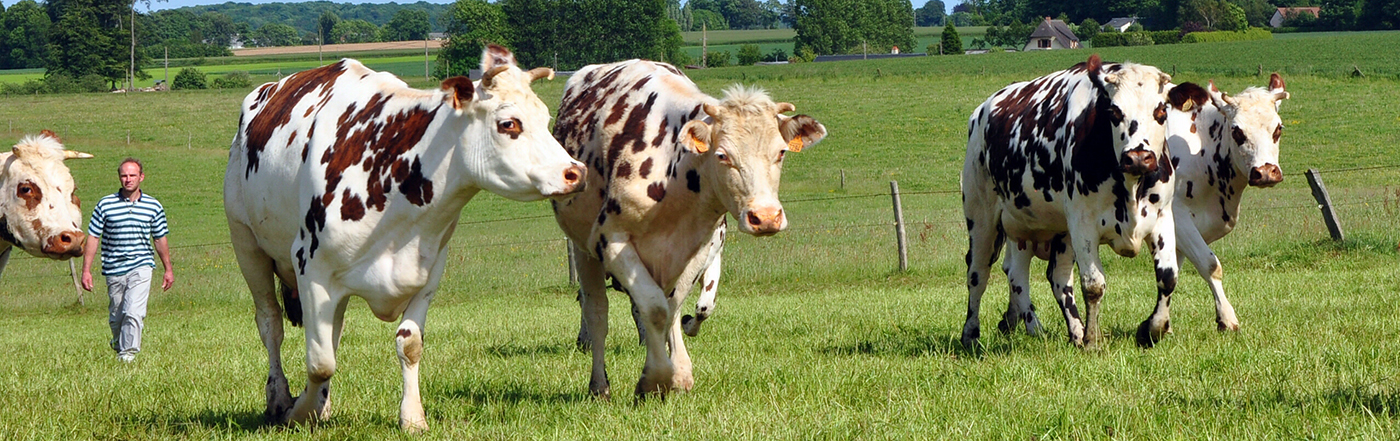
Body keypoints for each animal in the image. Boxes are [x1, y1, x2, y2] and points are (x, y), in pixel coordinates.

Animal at [223, 45, 584, 432]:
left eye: (546, 118)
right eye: (509, 124)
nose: (576, 172)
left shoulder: (428, 273)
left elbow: (407, 345)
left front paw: (412, 417)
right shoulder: (310, 267)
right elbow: (320, 362)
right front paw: (298, 412)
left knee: (330, 332)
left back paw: (323, 403)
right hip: (247, 245)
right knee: (270, 324)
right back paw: (278, 398)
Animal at [552, 59, 826, 399]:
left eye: (781, 152)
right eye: (722, 155)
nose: (765, 217)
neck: (674, 171)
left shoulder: (701, 246)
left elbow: (672, 308)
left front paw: (679, 374)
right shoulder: (611, 240)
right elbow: (654, 308)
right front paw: (654, 380)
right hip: (583, 249)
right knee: (597, 312)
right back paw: (599, 385)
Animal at [961, 54, 1177, 349]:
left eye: (1161, 111)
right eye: (1114, 112)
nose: (1138, 157)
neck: (1131, 186)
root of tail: (982, 110)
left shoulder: (1162, 216)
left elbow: (1168, 277)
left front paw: (1153, 329)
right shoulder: (1083, 225)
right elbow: (1094, 285)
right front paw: (1093, 340)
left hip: (1042, 231)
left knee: (1048, 277)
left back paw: (1072, 331)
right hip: (981, 218)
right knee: (978, 274)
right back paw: (970, 335)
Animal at [997, 74, 1290, 336]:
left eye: (1278, 129)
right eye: (1237, 131)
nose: (1266, 172)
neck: (1201, 147)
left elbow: (1173, 270)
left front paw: (1161, 324)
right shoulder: (1179, 217)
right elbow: (1209, 264)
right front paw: (1227, 319)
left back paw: (1013, 321)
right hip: (1022, 227)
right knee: (1017, 273)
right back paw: (1034, 327)